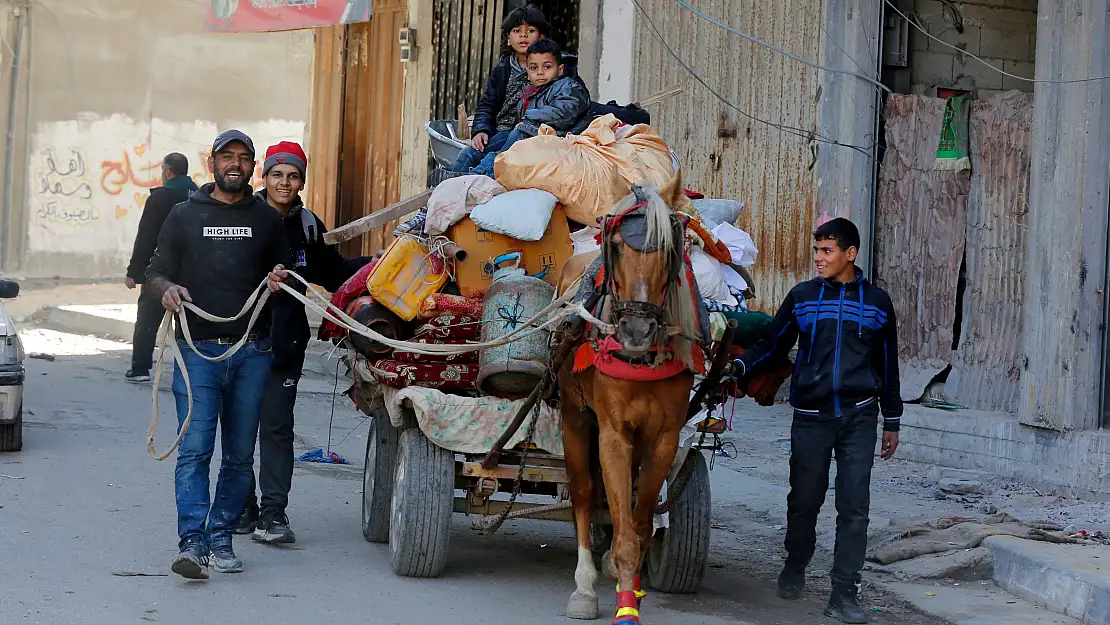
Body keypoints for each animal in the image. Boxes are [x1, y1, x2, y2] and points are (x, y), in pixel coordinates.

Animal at [555, 172, 701, 625]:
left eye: (668, 250)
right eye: (617, 245)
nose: (636, 331)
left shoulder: (664, 437)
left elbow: (639, 523)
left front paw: (631, 588)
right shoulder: (613, 434)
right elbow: (621, 528)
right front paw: (624, 608)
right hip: (574, 416)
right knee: (584, 490)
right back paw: (584, 585)